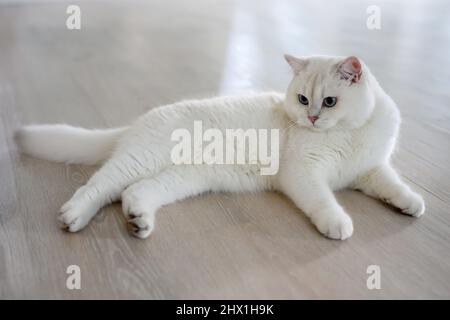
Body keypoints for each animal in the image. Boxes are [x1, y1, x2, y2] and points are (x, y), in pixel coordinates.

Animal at [16, 55, 426, 240]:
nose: (310, 117)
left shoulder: (370, 170)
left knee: (135, 193)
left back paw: (139, 220)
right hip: (140, 160)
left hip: (180, 179)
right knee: (98, 186)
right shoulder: (303, 173)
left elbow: (393, 185)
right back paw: (74, 216)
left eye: (329, 102)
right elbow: (323, 201)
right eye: (302, 98)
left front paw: (411, 203)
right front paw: (337, 223)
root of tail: (138, 121)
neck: (348, 132)